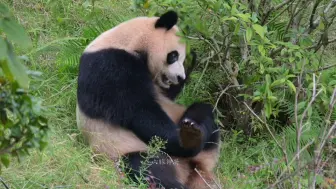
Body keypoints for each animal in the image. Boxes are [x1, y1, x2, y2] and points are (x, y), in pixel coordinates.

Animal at [76, 10, 220, 189]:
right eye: (173, 56)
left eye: (182, 58)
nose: (180, 77)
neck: (129, 42)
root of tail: (187, 170)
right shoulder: (109, 65)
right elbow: (139, 110)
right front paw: (181, 141)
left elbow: (166, 96)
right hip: (125, 149)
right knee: (145, 166)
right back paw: (187, 144)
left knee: (203, 111)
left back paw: (193, 130)